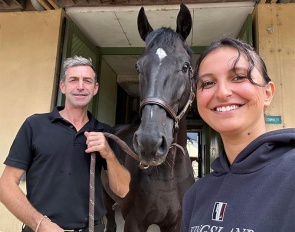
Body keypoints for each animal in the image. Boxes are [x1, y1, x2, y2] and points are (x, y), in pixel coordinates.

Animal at [104, 4, 197, 232]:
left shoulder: (174, 223)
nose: (150, 143)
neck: (167, 175)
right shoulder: (134, 222)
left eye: (185, 66)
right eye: (138, 67)